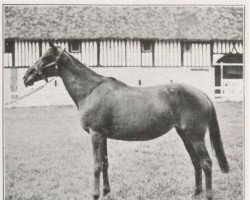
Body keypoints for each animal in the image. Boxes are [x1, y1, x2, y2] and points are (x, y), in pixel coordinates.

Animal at [23, 41, 229, 199]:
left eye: (46, 57)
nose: (26, 76)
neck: (91, 90)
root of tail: (202, 93)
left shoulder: (95, 135)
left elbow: (96, 165)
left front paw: (95, 194)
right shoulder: (103, 136)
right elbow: (105, 163)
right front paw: (106, 192)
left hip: (195, 136)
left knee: (206, 163)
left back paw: (207, 195)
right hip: (185, 135)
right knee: (196, 162)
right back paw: (196, 192)